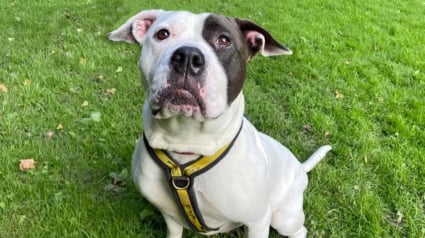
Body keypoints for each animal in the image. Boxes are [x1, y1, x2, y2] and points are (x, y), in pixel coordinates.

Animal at [107, 9, 332, 238]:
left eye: (224, 40)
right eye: (162, 34)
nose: (187, 56)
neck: (186, 142)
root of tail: (300, 167)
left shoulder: (258, 221)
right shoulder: (170, 217)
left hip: (284, 217)